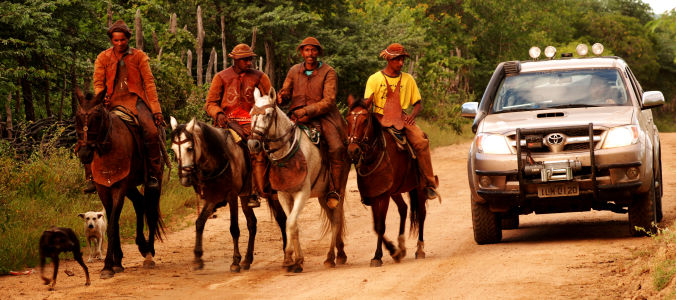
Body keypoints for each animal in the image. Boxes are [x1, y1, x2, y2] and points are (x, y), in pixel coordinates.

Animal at [74, 89, 164, 278]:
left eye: (97, 117)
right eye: (77, 117)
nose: (84, 153)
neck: (108, 147)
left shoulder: (119, 188)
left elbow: (111, 226)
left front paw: (108, 266)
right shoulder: (104, 188)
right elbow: (113, 224)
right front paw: (116, 262)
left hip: (153, 181)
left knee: (151, 211)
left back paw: (149, 253)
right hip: (130, 186)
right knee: (139, 203)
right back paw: (141, 245)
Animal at [169, 116, 288, 272]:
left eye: (189, 148)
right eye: (173, 149)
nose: (184, 178)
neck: (219, 156)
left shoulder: (231, 196)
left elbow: (234, 228)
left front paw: (235, 261)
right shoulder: (213, 197)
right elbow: (199, 223)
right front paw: (197, 258)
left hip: (272, 193)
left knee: (281, 219)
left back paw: (287, 255)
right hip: (245, 197)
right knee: (252, 223)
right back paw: (247, 260)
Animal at [247, 87, 346, 272]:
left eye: (268, 114)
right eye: (251, 114)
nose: (252, 144)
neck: (287, 153)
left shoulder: (302, 194)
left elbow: (292, 223)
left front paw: (295, 259)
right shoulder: (284, 195)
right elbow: (290, 225)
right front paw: (291, 259)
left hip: (338, 192)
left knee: (336, 221)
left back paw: (331, 257)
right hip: (323, 196)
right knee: (332, 220)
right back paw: (340, 253)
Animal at [344, 95, 428, 266]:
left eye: (365, 120)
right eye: (348, 120)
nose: (353, 151)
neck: (373, 157)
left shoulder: (383, 196)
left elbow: (381, 226)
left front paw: (385, 253)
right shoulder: (375, 194)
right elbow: (376, 226)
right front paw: (388, 253)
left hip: (419, 187)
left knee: (422, 213)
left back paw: (420, 250)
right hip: (395, 191)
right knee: (403, 209)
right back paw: (401, 246)